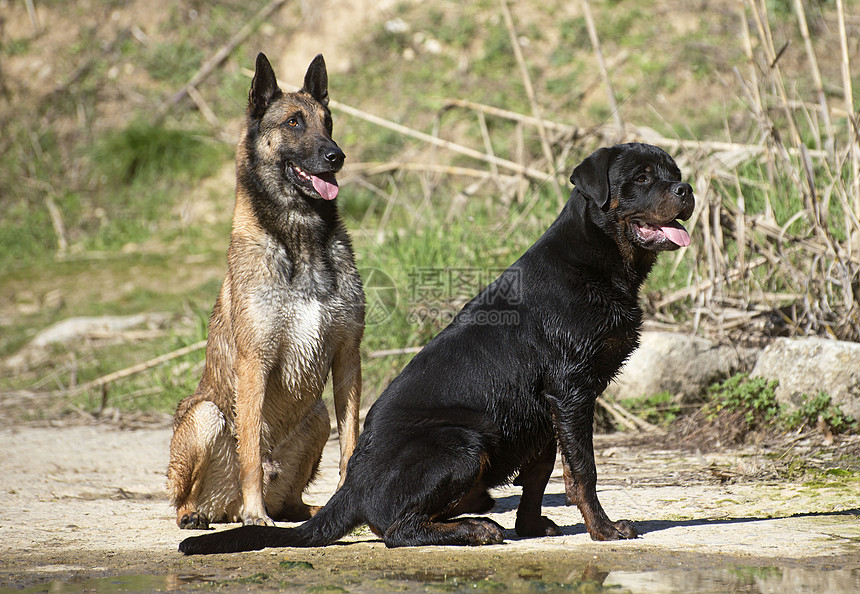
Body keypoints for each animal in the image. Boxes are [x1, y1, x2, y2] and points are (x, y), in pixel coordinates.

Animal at [166, 53, 364, 528]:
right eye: (293, 123)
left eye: (328, 121)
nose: (336, 156)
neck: (300, 236)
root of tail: (223, 506)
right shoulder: (254, 363)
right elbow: (252, 450)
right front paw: (257, 517)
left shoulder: (348, 356)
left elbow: (352, 444)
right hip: (203, 415)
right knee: (186, 495)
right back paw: (208, 514)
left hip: (318, 415)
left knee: (293, 499)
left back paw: (309, 509)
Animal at [180, 141, 692, 552]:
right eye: (642, 178)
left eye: (675, 171)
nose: (686, 190)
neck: (598, 257)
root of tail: (351, 486)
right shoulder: (570, 392)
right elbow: (582, 471)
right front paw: (604, 531)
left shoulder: (547, 410)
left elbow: (540, 473)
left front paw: (532, 527)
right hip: (460, 443)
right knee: (395, 530)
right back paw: (474, 530)